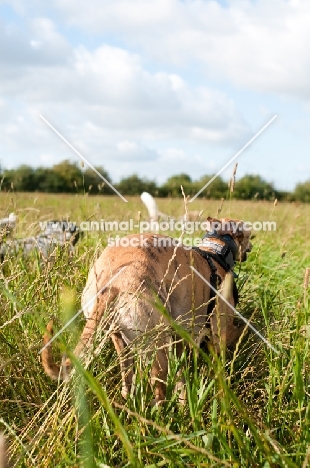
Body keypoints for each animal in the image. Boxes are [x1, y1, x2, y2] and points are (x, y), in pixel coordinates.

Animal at [42, 218, 252, 404]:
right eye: (249, 235)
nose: (250, 249)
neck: (215, 252)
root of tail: (112, 282)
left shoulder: (182, 338)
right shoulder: (220, 335)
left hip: (121, 339)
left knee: (127, 380)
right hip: (157, 344)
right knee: (158, 388)